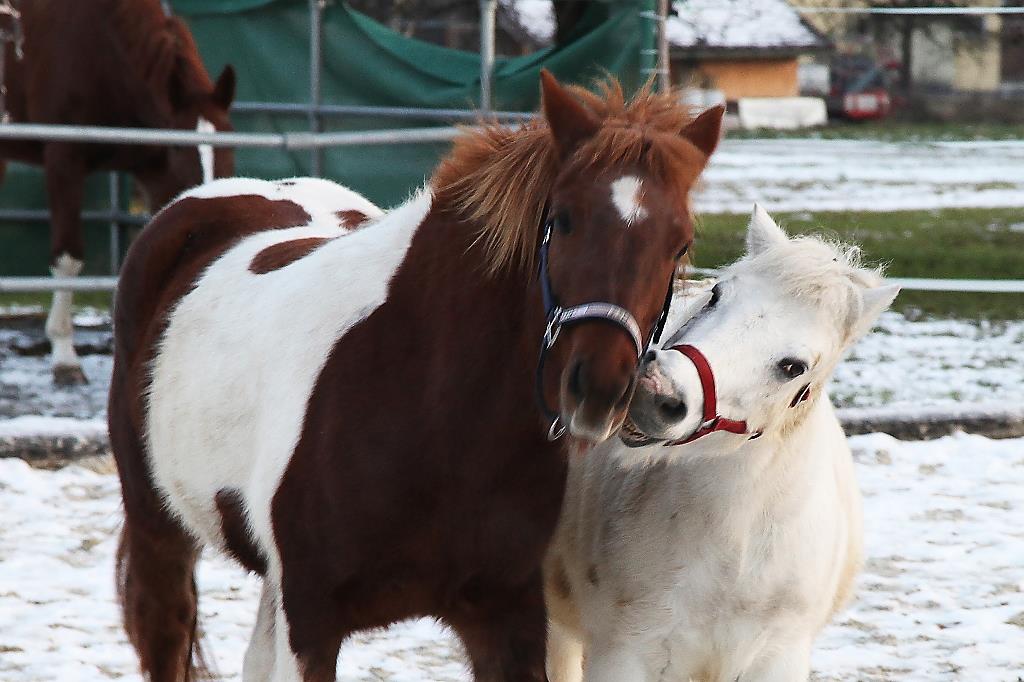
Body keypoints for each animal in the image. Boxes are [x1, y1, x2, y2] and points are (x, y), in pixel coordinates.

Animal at [0, 0, 234, 382]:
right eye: (178, 146)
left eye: (230, 143)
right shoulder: (63, 157)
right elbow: (68, 258)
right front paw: (65, 357)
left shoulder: (151, 172)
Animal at [108, 71, 724, 675]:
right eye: (564, 219)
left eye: (679, 244)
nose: (598, 390)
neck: (431, 410)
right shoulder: (310, 618)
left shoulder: (505, 614)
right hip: (160, 537)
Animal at [544, 205, 897, 679]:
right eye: (715, 295)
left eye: (793, 367)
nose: (656, 392)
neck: (734, 550)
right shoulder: (624, 653)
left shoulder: (777, 657)